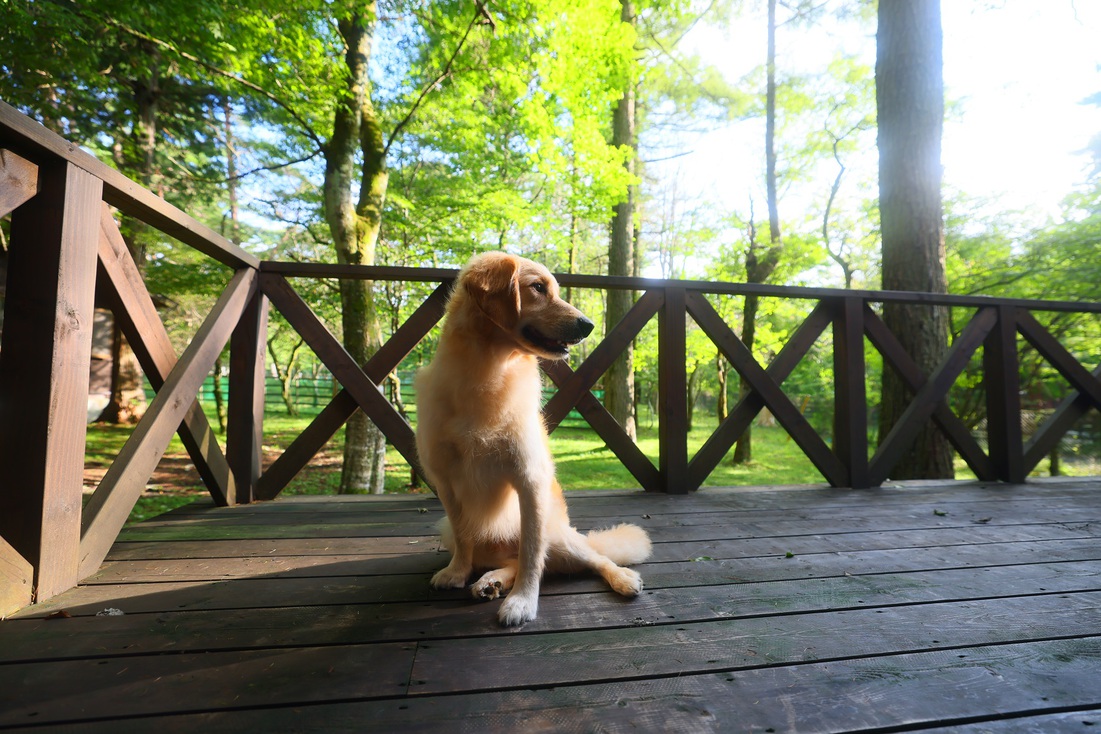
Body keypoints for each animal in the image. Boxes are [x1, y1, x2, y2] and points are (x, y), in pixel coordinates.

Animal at [413, 253, 651, 625]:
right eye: (538, 288)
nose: (588, 325)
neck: (487, 372)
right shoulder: (447, 484)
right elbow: (466, 536)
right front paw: (457, 572)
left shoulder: (529, 481)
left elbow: (530, 552)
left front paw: (522, 601)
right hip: (450, 531)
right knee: (503, 557)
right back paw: (490, 581)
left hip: (562, 537)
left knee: (591, 558)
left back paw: (623, 578)